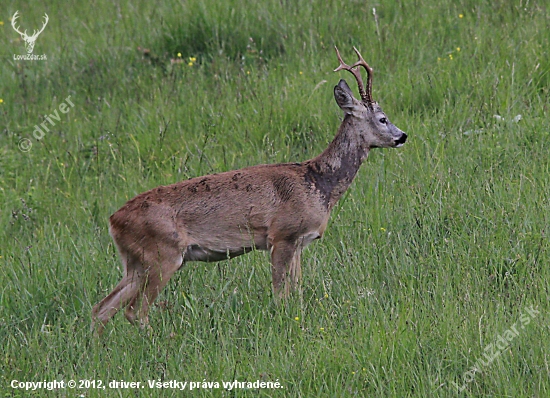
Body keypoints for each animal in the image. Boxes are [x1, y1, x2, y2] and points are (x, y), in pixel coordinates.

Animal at [91, 45, 410, 334]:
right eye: (382, 118)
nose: (403, 136)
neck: (318, 183)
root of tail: (113, 221)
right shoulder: (282, 235)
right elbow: (281, 296)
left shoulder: (300, 243)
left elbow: (297, 292)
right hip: (162, 255)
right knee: (135, 311)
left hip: (136, 261)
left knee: (102, 308)